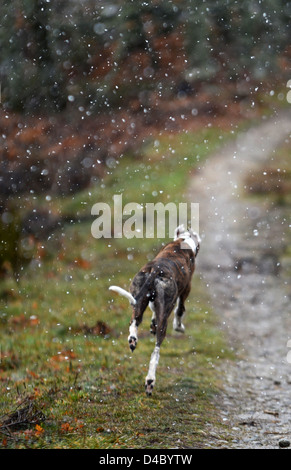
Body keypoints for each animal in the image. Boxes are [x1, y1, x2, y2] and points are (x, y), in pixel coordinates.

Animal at [109, 226, 201, 394]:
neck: (183, 241)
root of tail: (154, 271)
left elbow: (153, 312)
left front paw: (152, 324)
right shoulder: (186, 290)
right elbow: (180, 311)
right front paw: (179, 326)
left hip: (139, 300)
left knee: (134, 323)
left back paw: (133, 340)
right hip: (164, 320)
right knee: (155, 352)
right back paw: (150, 380)